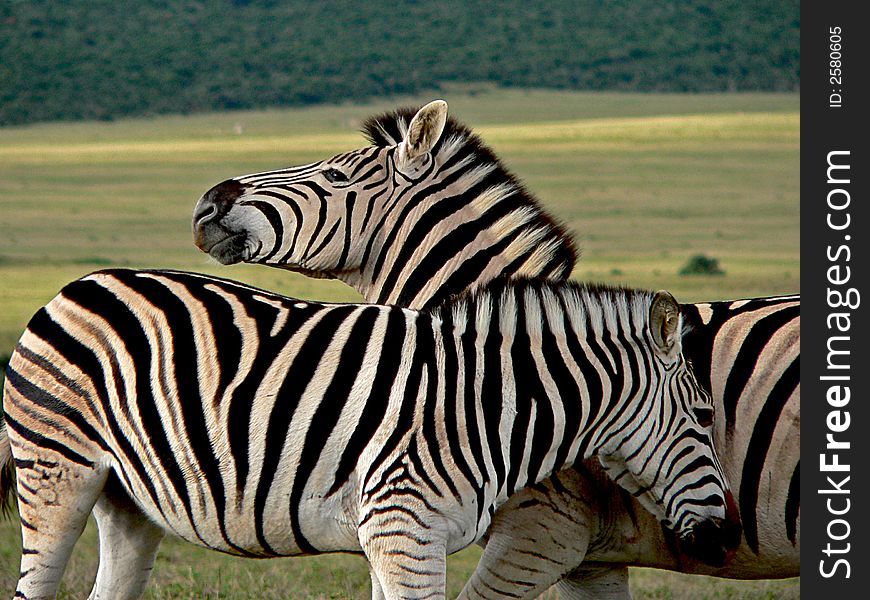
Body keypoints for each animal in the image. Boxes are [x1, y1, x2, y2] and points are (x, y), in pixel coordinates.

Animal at [0, 270, 744, 600]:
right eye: (707, 416)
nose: (727, 536)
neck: (487, 404)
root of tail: (78, 283)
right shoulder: (402, 528)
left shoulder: (395, 540)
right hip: (57, 471)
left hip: (127, 499)